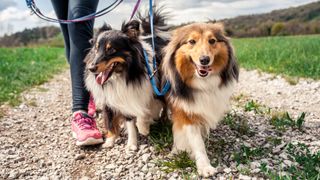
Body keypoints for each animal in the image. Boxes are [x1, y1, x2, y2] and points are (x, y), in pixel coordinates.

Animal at [84, 11, 170, 151]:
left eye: (111, 50)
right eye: (96, 49)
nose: (91, 69)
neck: (122, 74)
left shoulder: (146, 90)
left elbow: (143, 111)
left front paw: (144, 128)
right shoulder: (119, 98)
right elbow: (126, 122)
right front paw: (129, 144)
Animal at [161, 22, 239, 177]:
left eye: (212, 41)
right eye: (192, 41)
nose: (204, 60)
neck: (202, 83)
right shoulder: (186, 113)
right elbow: (197, 142)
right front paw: (204, 166)